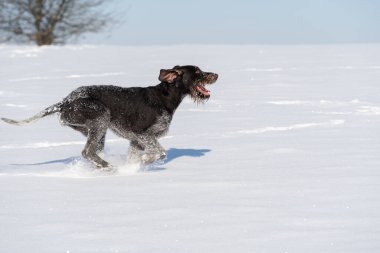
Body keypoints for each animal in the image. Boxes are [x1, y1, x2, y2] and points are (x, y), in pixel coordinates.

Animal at [1, 65, 218, 168]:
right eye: (197, 71)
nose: (216, 74)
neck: (165, 97)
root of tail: (65, 101)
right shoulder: (142, 134)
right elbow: (160, 153)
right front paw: (145, 162)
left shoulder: (136, 141)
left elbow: (138, 156)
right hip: (100, 116)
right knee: (86, 152)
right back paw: (108, 167)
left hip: (95, 130)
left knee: (92, 151)